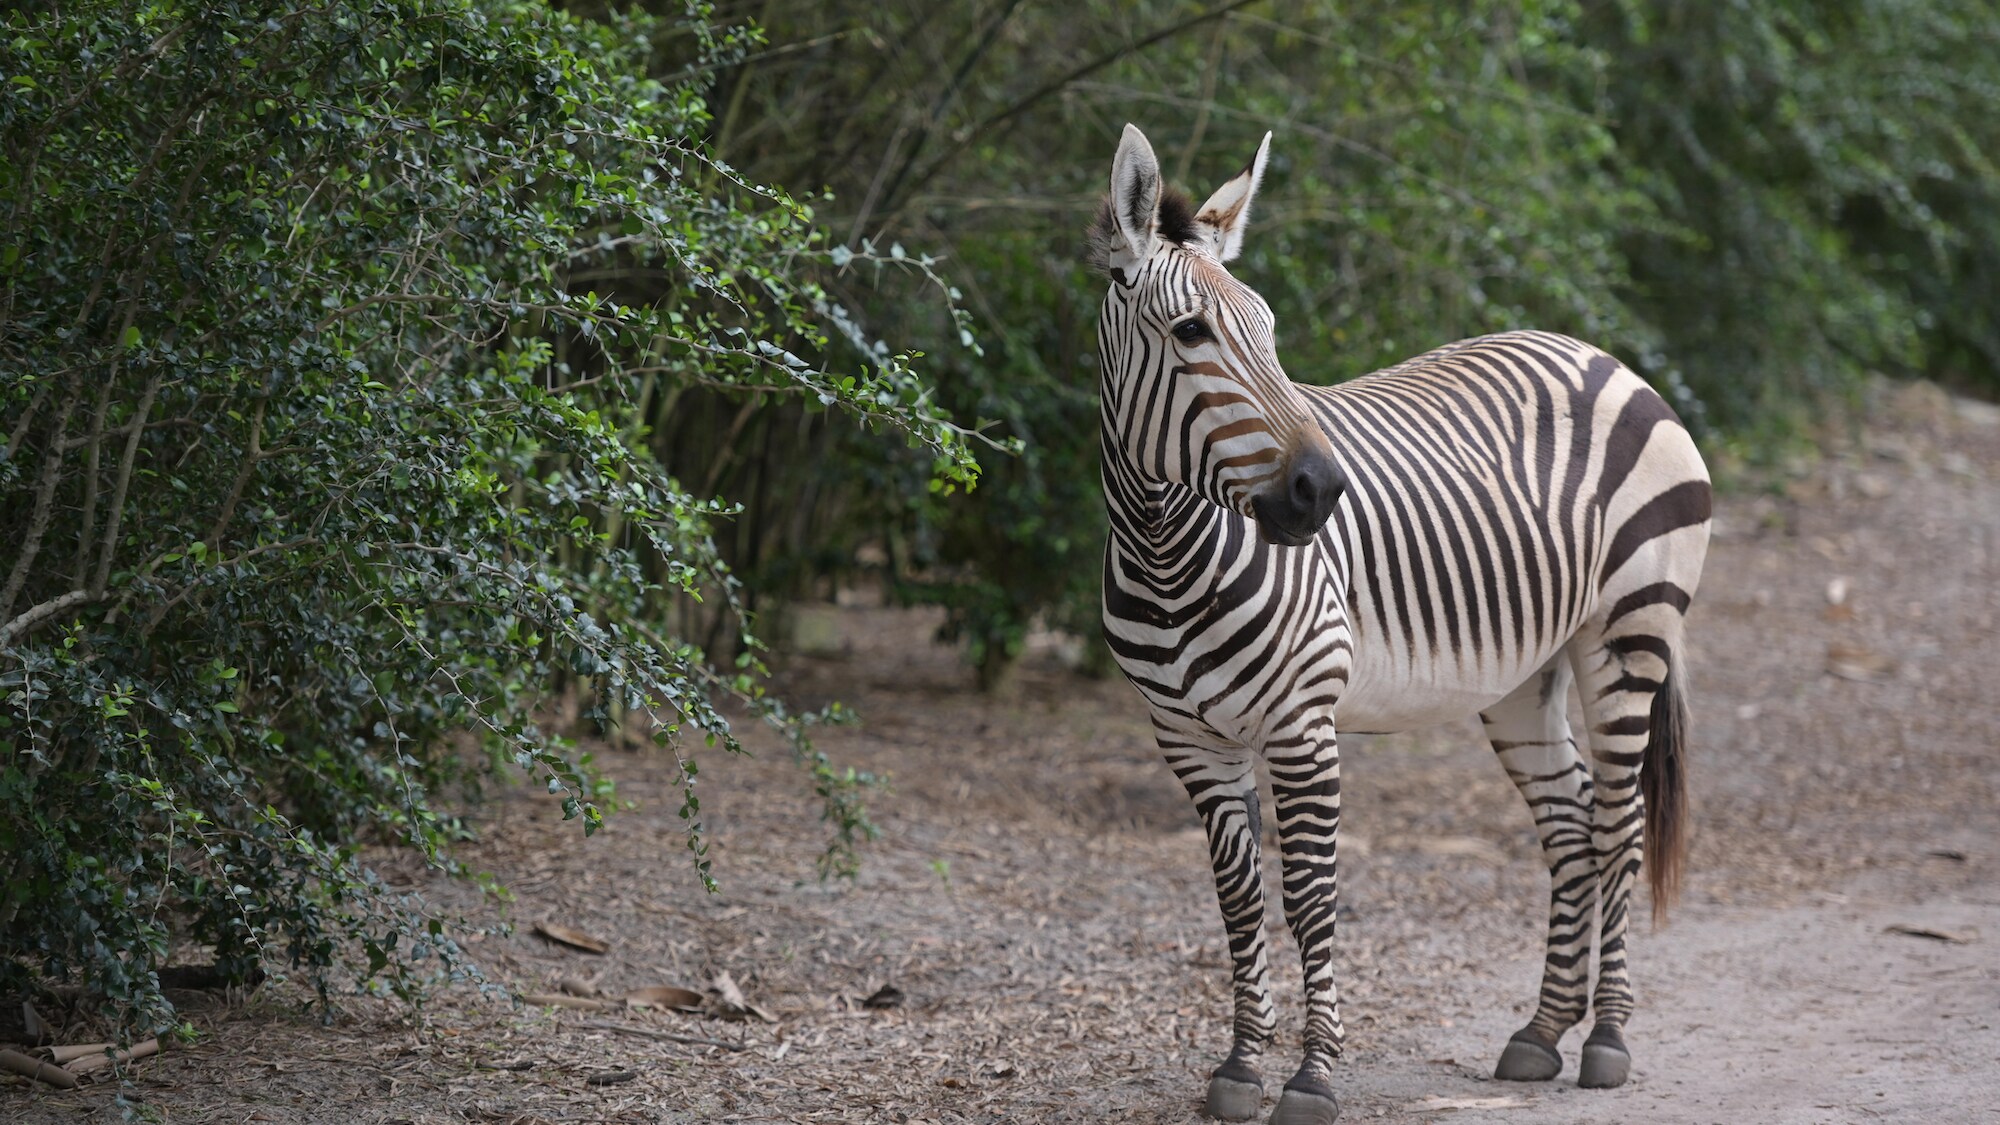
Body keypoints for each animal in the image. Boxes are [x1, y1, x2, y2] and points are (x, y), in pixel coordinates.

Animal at [1088, 124, 1712, 1120]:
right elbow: (1238, 898)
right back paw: (1542, 1032)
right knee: (1572, 824)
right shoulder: (1186, 736)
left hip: (1630, 633)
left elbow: (1310, 895)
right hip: (1521, 675)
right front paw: (1240, 1066)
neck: (1166, 552)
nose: (1323, 489)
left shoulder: (1302, 724)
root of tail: (1604, 358)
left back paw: (1608, 1039)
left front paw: (1312, 1075)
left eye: (1270, 332)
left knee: (1620, 824)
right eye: (1191, 333)